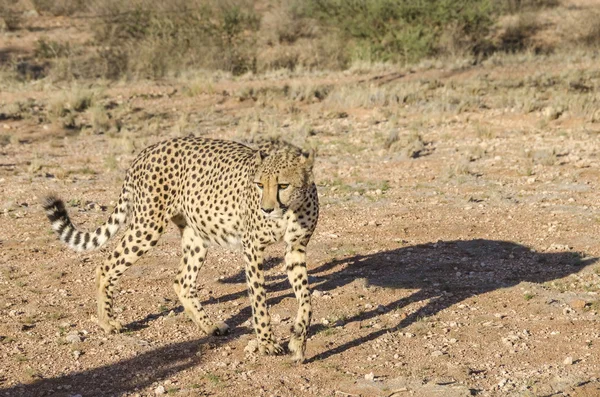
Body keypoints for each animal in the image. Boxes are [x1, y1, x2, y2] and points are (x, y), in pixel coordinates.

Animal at [43, 136, 318, 362]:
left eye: (283, 185)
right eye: (260, 184)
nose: (267, 209)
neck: (289, 211)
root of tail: (148, 149)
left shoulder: (295, 249)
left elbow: (306, 299)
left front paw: (298, 341)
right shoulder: (252, 248)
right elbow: (259, 300)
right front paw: (267, 343)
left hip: (195, 235)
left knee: (182, 281)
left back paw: (210, 326)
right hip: (148, 226)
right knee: (106, 266)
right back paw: (108, 322)